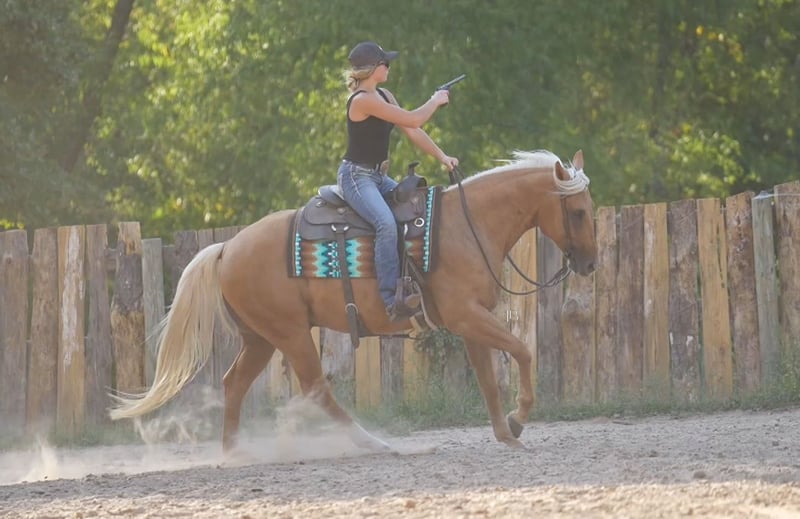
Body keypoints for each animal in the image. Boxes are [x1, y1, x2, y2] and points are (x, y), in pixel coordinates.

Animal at [110, 149, 597, 452]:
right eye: (577, 213)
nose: (590, 262)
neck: (465, 226)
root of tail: (227, 248)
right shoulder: (467, 316)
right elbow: (523, 351)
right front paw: (520, 417)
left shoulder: (471, 321)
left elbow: (489, 378)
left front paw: (506, 430)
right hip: (290, 334)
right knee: (316, 389)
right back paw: (373, 442)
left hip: (261, 339)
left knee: (234, 384)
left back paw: (233, 452)